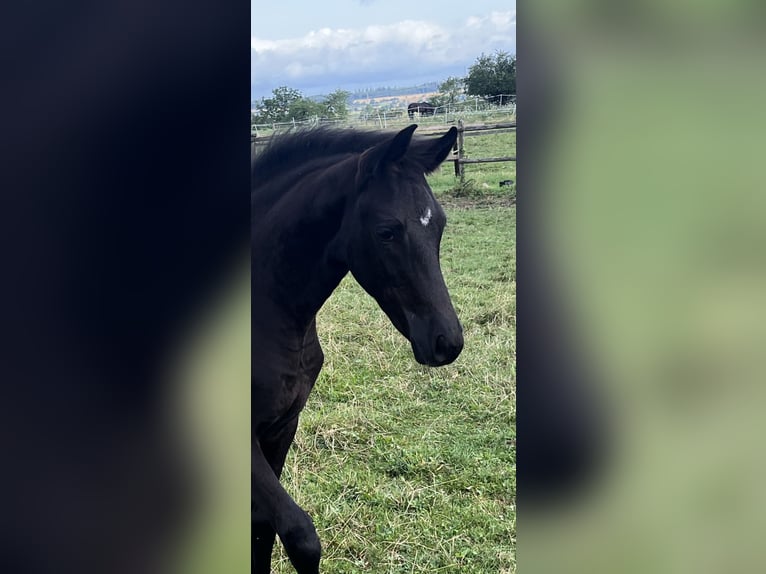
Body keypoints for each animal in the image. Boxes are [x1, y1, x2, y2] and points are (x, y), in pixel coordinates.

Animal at [255, 125, 464, 572]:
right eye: (387, 231)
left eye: (438, 225)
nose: (447, 342)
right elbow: (300, 536)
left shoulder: (281, 427)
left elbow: (262, 530)